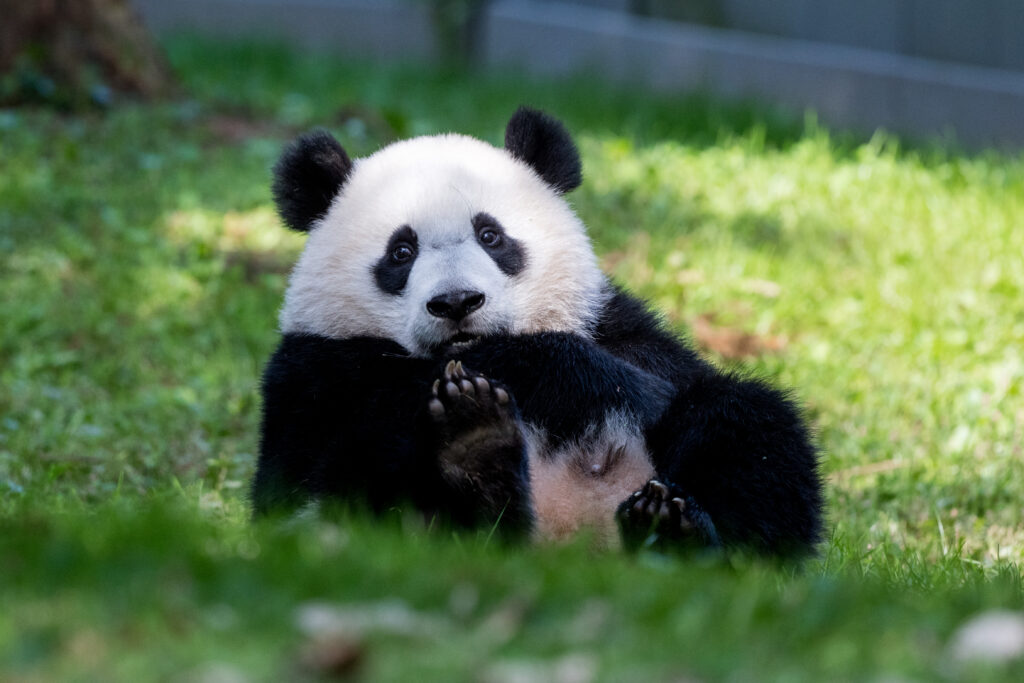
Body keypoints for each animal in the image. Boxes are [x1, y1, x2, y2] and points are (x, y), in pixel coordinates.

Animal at [252, 107, 824, 555]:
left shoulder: (614, 328)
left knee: (751, 431)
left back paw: (670, 529)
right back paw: (476, 451)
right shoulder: (311, 370)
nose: (457, 302)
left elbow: (668, 385)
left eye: (491, 236)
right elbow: (304, 472)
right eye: (401, 251)